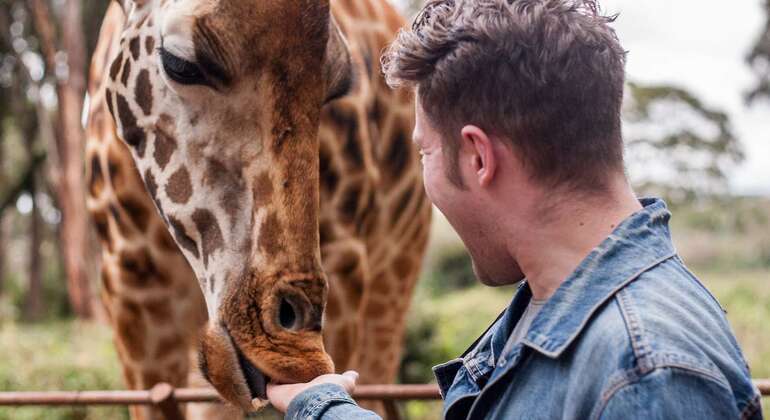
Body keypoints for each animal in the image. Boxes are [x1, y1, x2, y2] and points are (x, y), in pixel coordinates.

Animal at [84, 0, 431, 418]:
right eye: (180, 63)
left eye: (337, 85)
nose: (295, 356)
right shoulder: (130, 285)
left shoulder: (347, 262)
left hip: (395, 279)